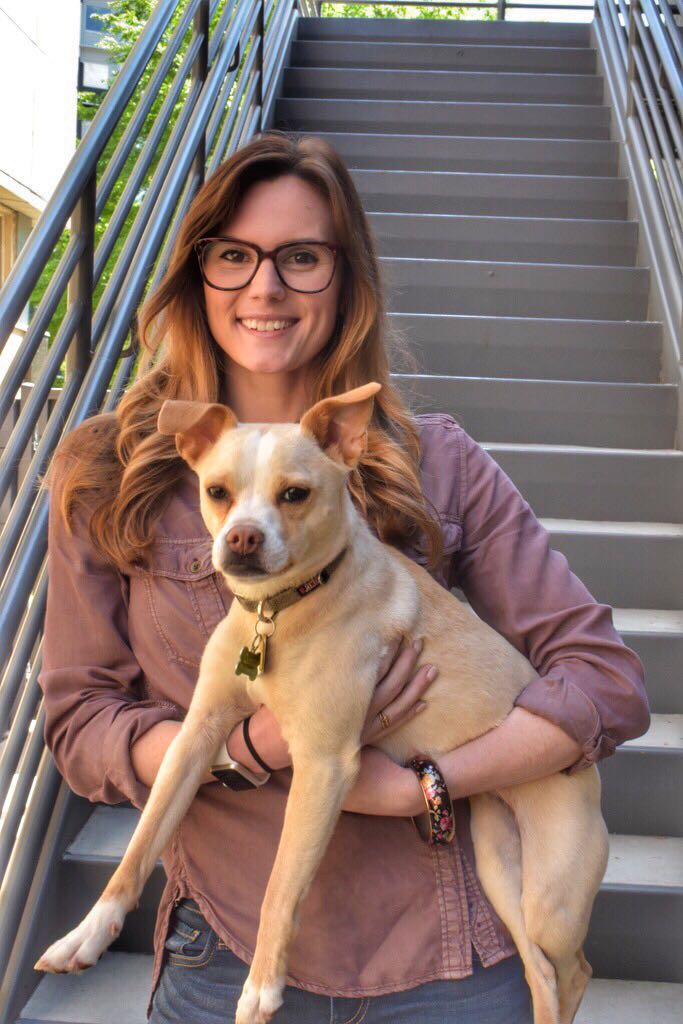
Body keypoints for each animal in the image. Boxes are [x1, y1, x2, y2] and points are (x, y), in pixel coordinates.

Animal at [34, 385, 606, 1024]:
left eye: (294, 494)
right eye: (217, 492)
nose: (242, 537)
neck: (277, 612)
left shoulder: (321, 765)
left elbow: (280, 887)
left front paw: (261, 988)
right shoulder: (196, 735)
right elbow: (142, 842)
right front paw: (86, 934)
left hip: (550, 894)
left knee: (573, 968)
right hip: (497, 862)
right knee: (540, 970)